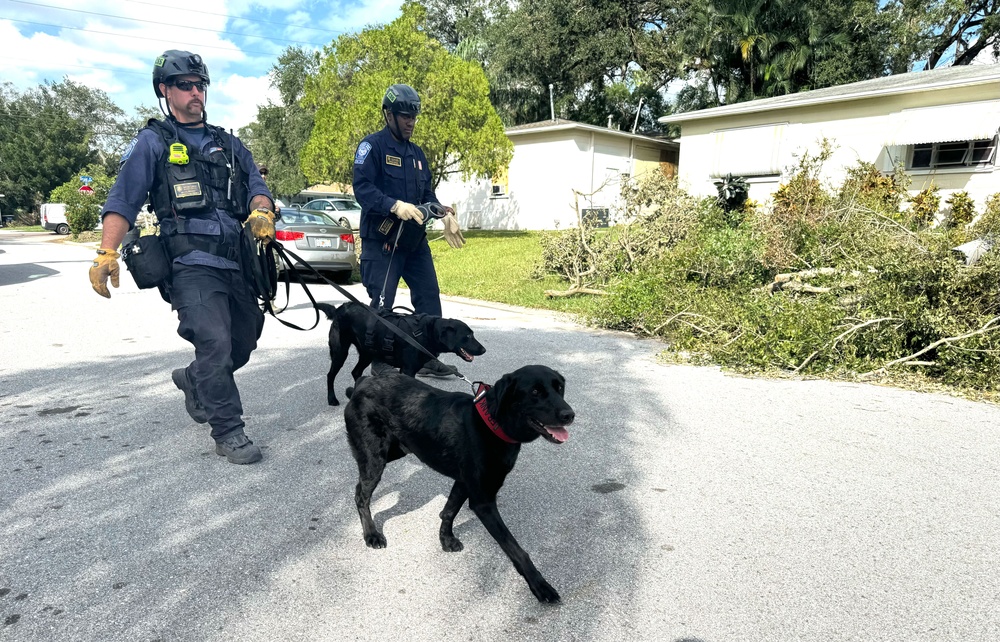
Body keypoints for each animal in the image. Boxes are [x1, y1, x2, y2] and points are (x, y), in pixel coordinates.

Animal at [314, 302, 482, 404]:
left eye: (472, 334)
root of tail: (339, 308)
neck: (427, 332)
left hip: (367, 353)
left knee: (356, 372)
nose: (484, 349)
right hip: (340, 352)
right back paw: (332, 399)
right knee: (330, 375)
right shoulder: (408, 369)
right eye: (468, 336)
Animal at [344, 364, 576, 600]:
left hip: (397, 450)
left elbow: (448, 511)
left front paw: (445, 539)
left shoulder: (463, 482)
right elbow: (515, 548)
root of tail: (362, 382)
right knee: (361, 495)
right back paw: (371, 534)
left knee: (360, 486)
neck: (492, 425)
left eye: (559, 388)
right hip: (375, 458)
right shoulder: (483, 502)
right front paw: (540, 585)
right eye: (535, 392)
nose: (569, 415)